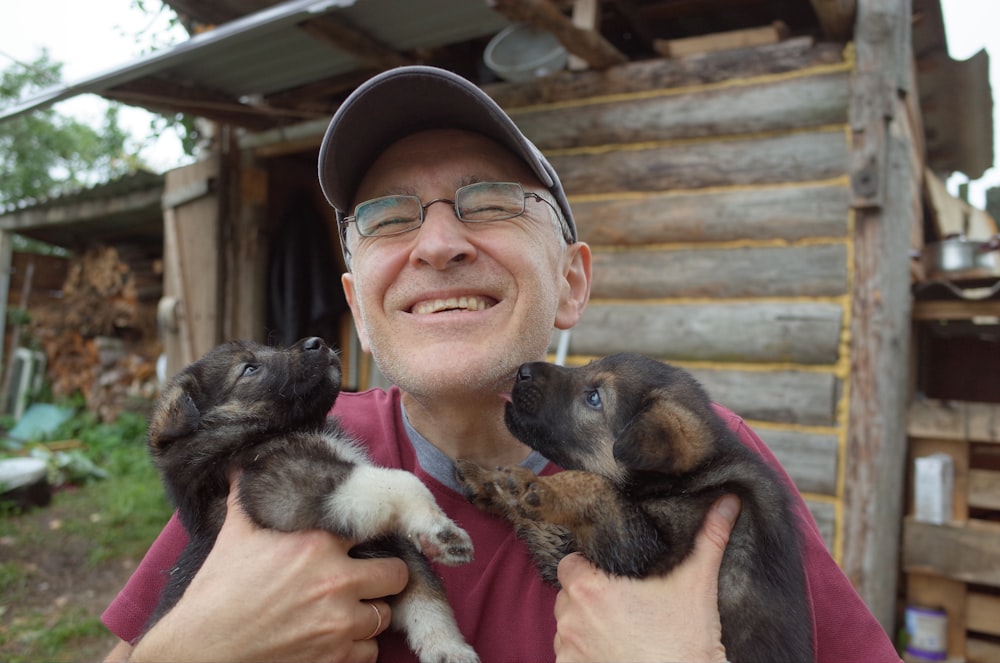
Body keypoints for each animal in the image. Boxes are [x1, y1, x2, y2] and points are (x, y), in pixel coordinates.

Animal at [144, 338, 480, 663]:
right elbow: (401, 481)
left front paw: (448, 647)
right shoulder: (285, 490)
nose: (317, 341)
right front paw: (440, 530)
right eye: (249, 369)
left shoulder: (392, 547)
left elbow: (426, 593)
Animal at [458, 352, 816, 663]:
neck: (686, 479)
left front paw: (536, 486)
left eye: (594, 398)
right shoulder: (572, 548)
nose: (522, 371)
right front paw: (490, 480)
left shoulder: (646, 548)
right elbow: (545, 522)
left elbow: (595, 485)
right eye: (587, 365)